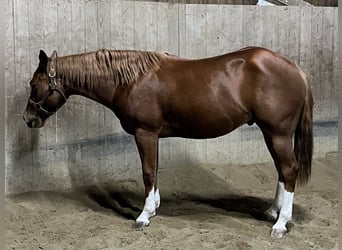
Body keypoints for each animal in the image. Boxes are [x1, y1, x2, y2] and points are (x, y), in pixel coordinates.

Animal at [23, 47, 312, 240]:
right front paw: (155, 207)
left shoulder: (145, 133)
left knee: (289, 169)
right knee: (282, 170)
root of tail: (296, 70)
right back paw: (272, 212)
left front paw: (143, 215)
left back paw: (280, 224)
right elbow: (155, 169)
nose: (28, 119)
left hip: (277, 133)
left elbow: (148, 172)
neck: (130, 79)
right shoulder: (153, 136)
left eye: (34, 83)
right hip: (272, 133)